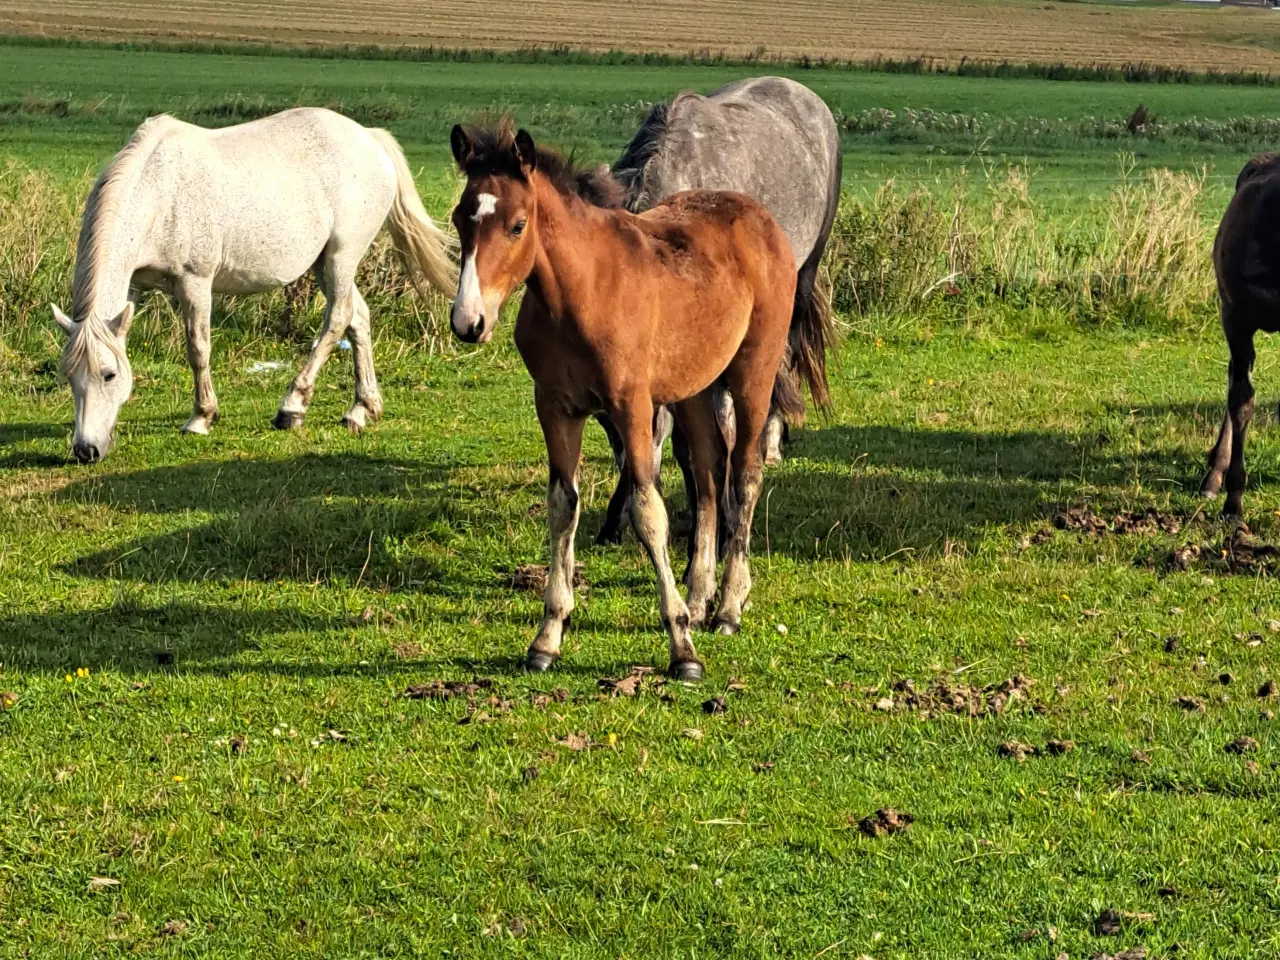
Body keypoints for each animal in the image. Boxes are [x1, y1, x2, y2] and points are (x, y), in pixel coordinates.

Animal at [51, 106, 460, 463]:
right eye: (69, 375)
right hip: (323, 264)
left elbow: (198, 348)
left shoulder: (194, 282)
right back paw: (362, 409)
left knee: (338, 318)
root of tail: (370, 137)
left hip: (341, 257)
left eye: (108, 374)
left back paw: (292, 407)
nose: (86, 450)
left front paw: (201, 417)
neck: (159, 191)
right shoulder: (133, 285)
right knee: (358, 318)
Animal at [445, 122, 793, 686]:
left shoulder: (632, 407)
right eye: (460, 219)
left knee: (745, 472)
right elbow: (562, 505)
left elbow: (647, 510)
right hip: (693, 386)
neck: (581, 292)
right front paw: (548, 636)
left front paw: (682, 649)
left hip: (752, 374)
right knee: (709, 474)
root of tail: (759, 216)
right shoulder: (556, 408)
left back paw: (728, 607)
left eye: (518, 225)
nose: (468, 321)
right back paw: (700, 596)